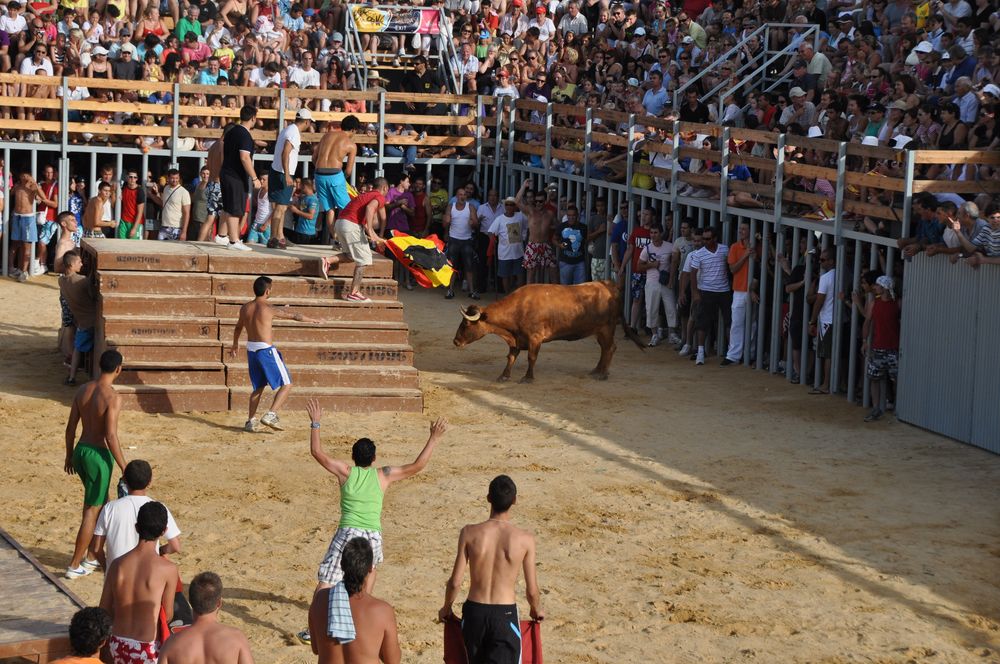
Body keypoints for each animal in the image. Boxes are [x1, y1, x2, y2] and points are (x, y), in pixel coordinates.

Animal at [452, 280, 640, 384]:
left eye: (467, 323)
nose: (456, 341)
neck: (519, 307)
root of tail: (609, 285)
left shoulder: (535, 338)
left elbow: (531, 358)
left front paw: (528, 378)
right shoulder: (516, 338)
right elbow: (511, 357)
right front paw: (504, 376)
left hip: (607, 328)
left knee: (610, 348)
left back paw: (603, 374)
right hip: (599, 331)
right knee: (604, 349)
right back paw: (596, 370)